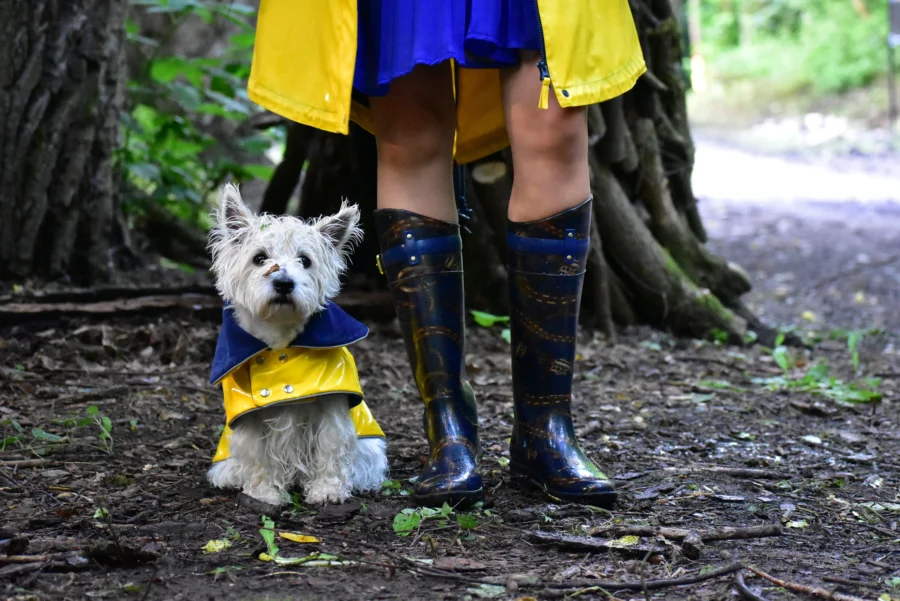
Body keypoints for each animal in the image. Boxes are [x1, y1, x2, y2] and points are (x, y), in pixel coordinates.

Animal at [204, 185, 386, 504]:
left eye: (305, 260)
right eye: (259, 258)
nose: (284, 283)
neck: (281, 344)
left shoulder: (331, 405)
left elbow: (329, 447)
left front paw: (327, 490)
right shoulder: (249, 416)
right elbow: (258, 454)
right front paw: (265, 492)